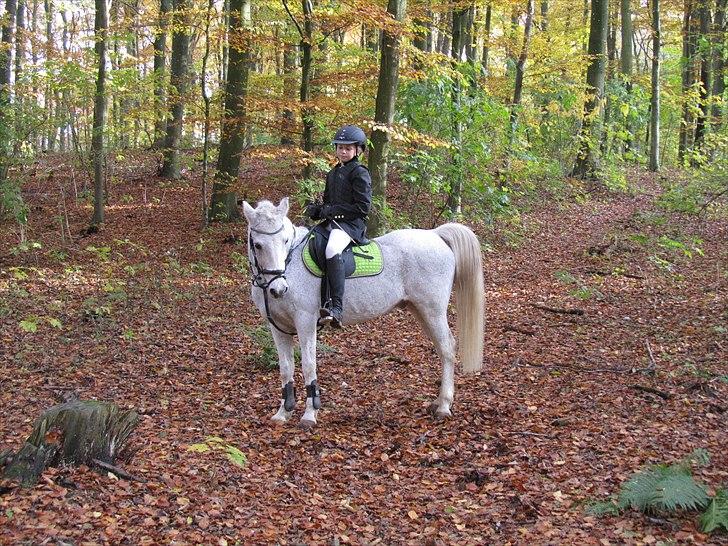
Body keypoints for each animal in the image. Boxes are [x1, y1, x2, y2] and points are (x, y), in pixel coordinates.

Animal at [242, 198, 486, 428]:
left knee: (447, 348)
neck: (290, 267)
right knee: (442, 348)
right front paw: (283, 413)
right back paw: (438, 402)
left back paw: (444, 405)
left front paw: (309, 415)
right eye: (258, 245)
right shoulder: (278, 328)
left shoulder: (306, 322)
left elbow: (308, 365)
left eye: (285, 240)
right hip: (421, 311)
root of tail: (435, 235)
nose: (279, 289)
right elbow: (285, 368)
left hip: (432, 310)